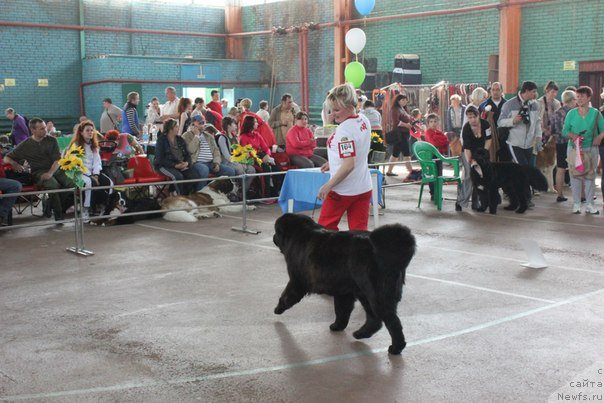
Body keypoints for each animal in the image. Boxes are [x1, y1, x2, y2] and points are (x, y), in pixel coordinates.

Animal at [272, 213, 416, 356]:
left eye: (276, 232)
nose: (273, 237)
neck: (298, 234)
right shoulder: (344, 293)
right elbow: (342, 311)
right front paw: (337, 326)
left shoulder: (296, 281)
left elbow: (286, 296)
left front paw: (278, 308)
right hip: (366, 295)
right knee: (374, 319)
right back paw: (361, 333)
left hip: (376, 296)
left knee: (391, 322)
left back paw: (396, 347)